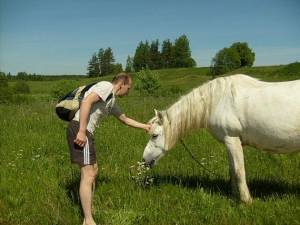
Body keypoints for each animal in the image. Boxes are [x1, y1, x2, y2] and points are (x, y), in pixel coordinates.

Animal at [143, 74, 300, 203]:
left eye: (154, 135)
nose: (144, 160)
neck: (218, 101)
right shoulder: (230, 142)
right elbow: (232, 170)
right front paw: (234, 195)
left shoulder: (232, 139)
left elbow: (239, 171)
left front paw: (246, 201)